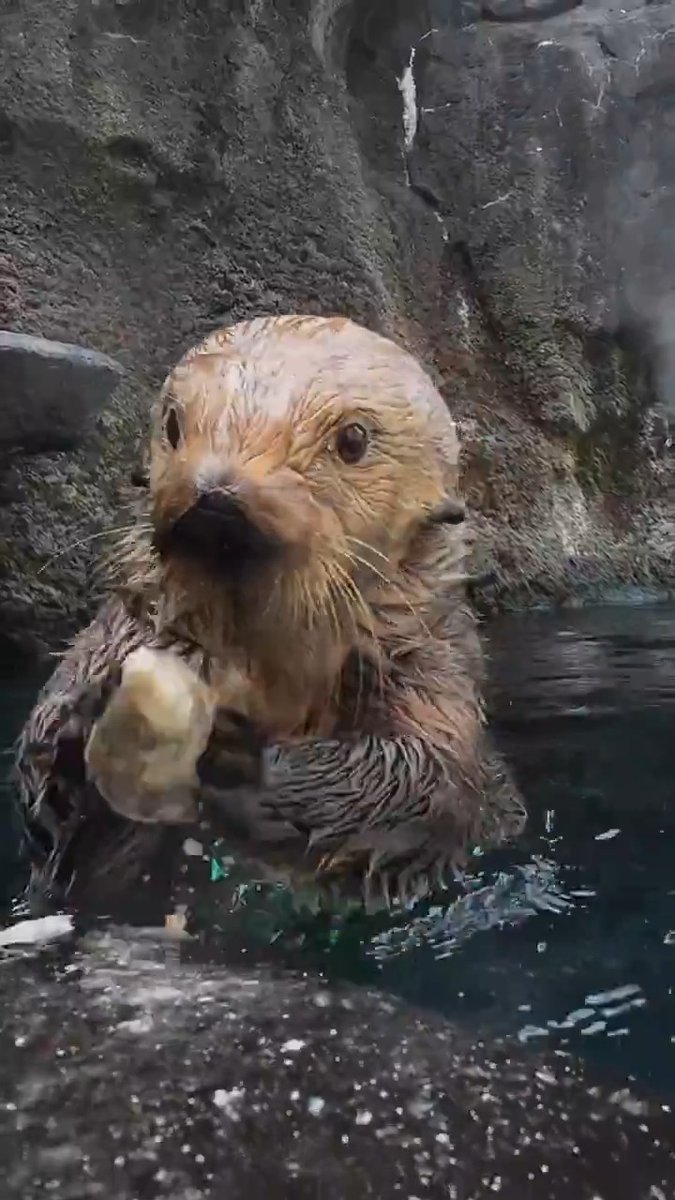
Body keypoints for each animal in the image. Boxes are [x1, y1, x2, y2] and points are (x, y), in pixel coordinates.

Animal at [15, 315, 525, 912]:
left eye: (353, 439)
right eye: (173, 424)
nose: (216, 498)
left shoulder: (429, 668)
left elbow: (425, 776)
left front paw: (240, 758)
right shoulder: (116, 629)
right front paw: (78, 727)